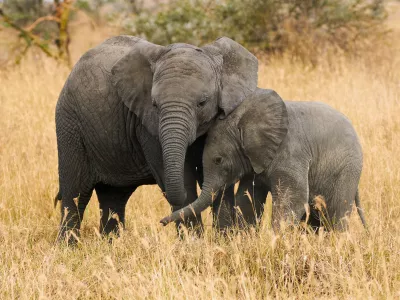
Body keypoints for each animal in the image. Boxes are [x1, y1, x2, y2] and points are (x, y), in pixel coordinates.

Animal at [54, 35, 258, 241]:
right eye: (154, 104)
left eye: (202, 103)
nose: (161, 222)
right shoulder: (147, 125)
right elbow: (184, 179)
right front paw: (194, 242)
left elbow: (219, 177)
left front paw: (226, 240)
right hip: (69, 126)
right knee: (76, 193)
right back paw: (67, 246)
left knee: (113, 197)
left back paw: (110, 243)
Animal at [161, 88, 368, 231]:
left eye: (219, 160)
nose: (161, 222)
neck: (244, 121)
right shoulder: (254, 160)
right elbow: (247, 198)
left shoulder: (290, 152)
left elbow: (292, 199)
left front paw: (275, 239)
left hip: (347, 170)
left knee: (337, 212)